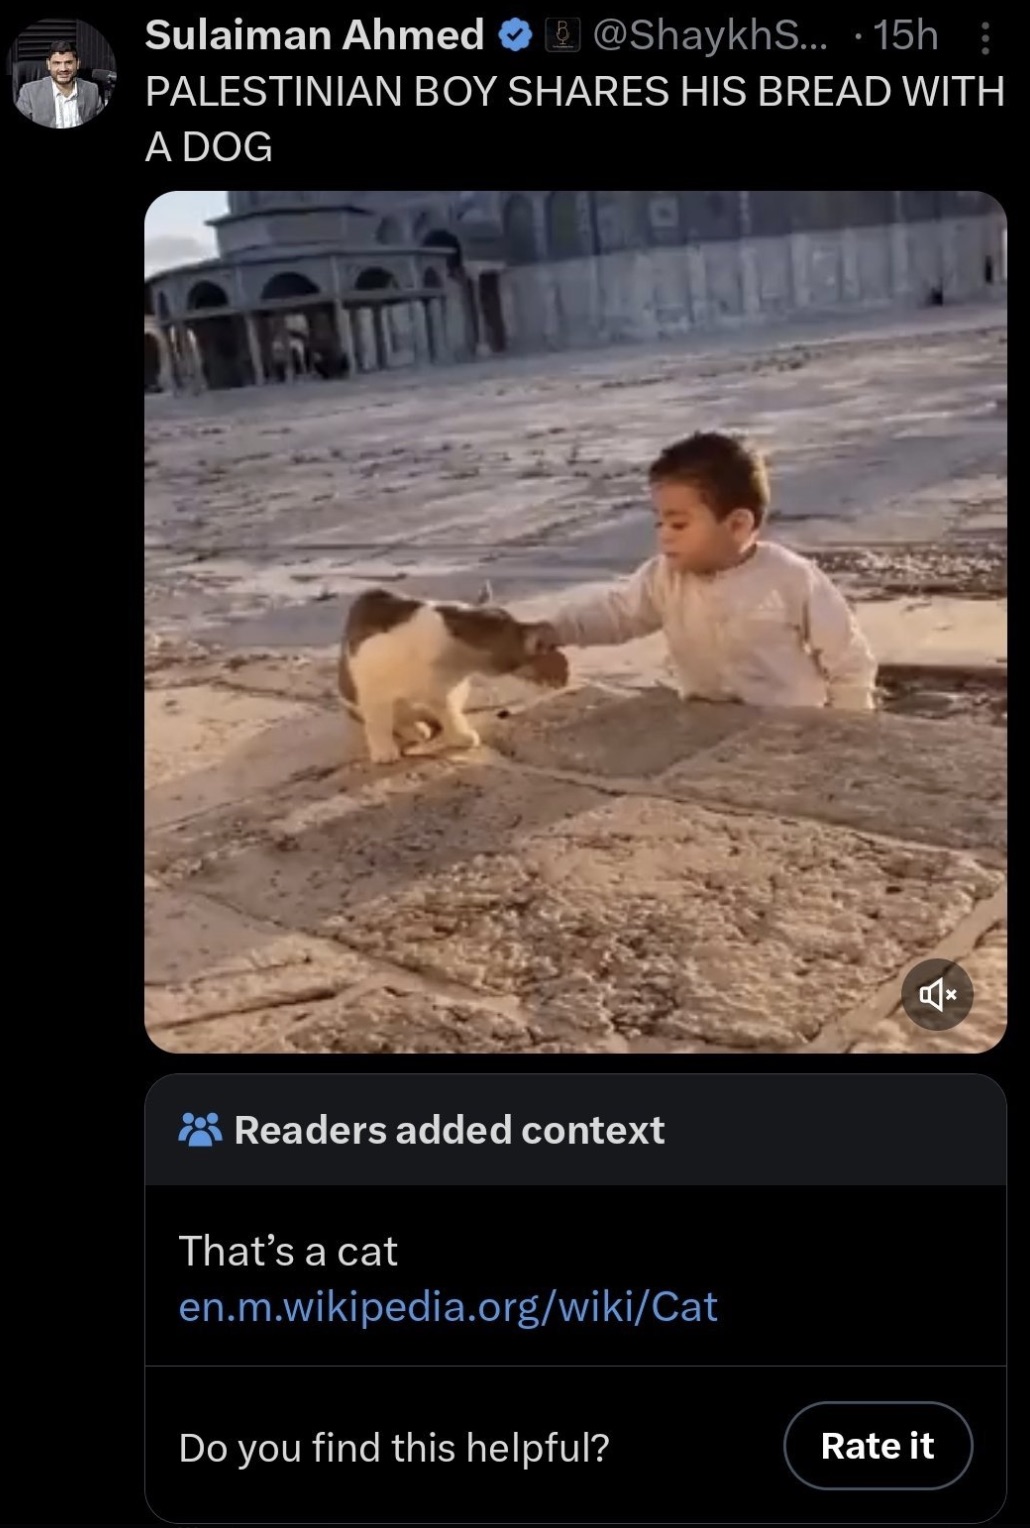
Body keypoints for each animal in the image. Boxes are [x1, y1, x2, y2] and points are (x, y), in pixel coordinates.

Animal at [336, 577, 562, 764]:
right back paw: (414, 729)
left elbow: (451, 714)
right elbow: (379, 722)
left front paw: (459, 735)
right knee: (393, 717)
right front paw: (383, 750)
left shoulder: (446, 692)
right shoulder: (373, 689)